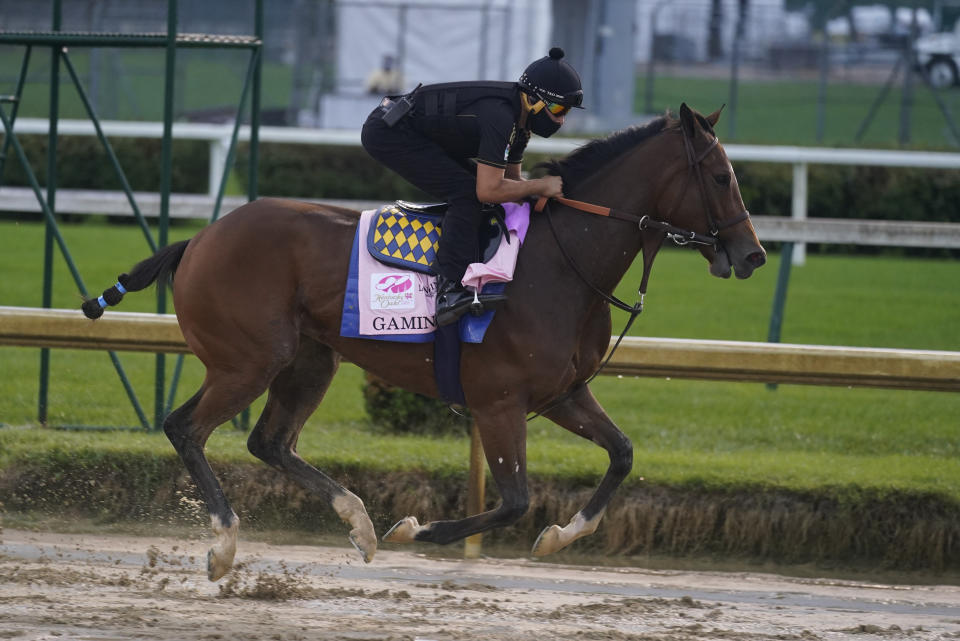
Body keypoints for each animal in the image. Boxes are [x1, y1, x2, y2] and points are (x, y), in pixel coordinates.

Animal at [86, 104, 768, 580]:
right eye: (720, 175)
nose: (753, 254)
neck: (559, 262)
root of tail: (200, 239)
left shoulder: (564, 394)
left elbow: (622, 454)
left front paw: (559, 536)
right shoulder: (498, 403)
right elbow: (514, 500)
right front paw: (417, 530)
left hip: (310, 359)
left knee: (269, 441)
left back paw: (358, 523)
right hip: (248, 360)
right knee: (186, 428)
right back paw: (227, 544)